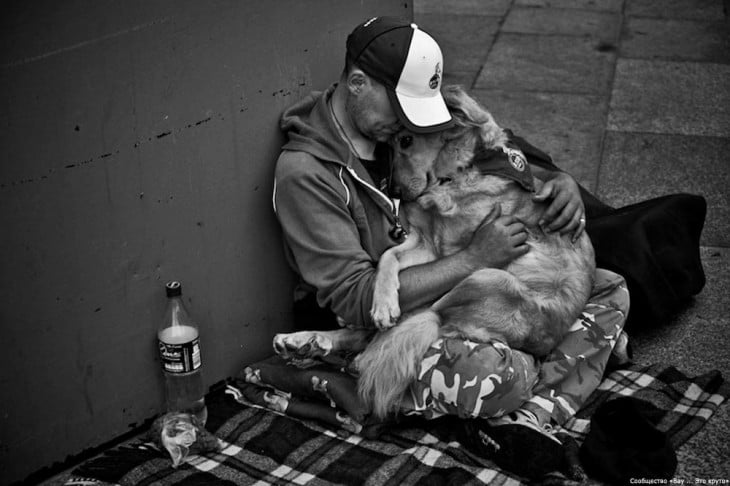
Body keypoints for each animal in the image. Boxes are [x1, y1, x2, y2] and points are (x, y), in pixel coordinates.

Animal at [272, 85, 592, 420]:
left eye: (406, 140)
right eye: (388, 144)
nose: (395, 193)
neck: (463, 172)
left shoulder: (445, 250)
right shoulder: (429, 243)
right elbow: (387, 258)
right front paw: (383, 303)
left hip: (485, 279)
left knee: (402, 324)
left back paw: (326, 346)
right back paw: (303, 341)